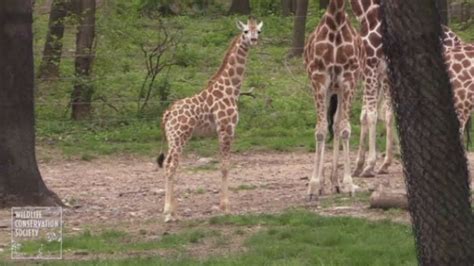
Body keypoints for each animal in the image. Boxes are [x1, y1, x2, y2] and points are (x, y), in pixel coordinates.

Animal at [158, 17, 262, 222]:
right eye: (245, 31)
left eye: (258, 31)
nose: (253, 40)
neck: (231, 88)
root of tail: (168, 114)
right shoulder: (226, 128)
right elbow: (225, 166)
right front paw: (226, 207)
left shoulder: (222, 131)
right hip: (180, 137)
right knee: (171, 165)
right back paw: (168, 212)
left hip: (172, 138)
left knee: (168, 164)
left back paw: (173, 210)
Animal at [304, 0, 366, 200]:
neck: (336, 22)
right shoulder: (319, 78)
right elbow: (321, 130)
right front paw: (314, 185)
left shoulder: (349, 79)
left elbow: (344, 128)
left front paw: (348, 183)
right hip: (328, 90)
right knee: (326, 123)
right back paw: (324, 183)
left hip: (337, 90)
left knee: (337, 124)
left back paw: (335, 183)